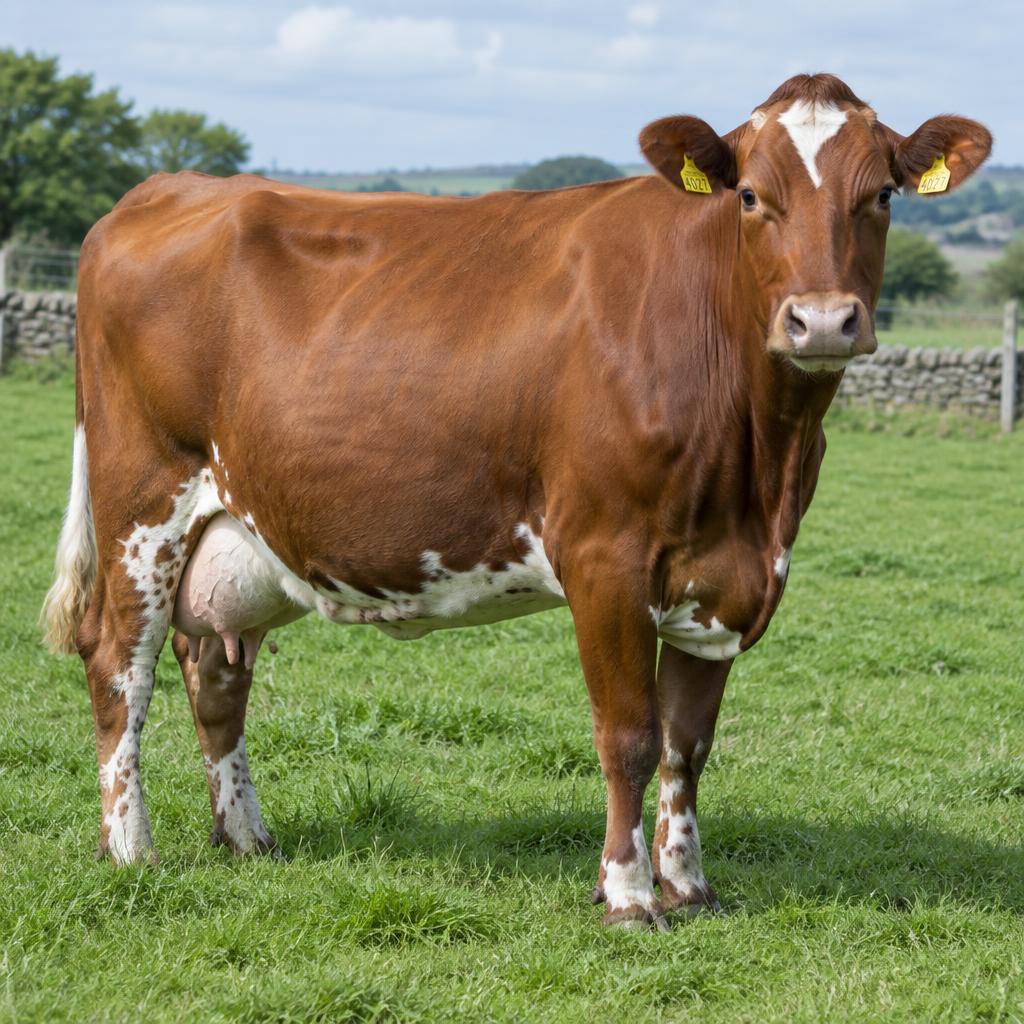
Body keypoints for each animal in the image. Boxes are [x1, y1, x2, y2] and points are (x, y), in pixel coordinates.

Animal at [43, 74, 990, 929]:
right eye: (752, 194)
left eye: (881, 194)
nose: (823, 321)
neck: (762, 463)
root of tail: (169, 189)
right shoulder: (605, 559)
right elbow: (629, 737)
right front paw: (629, 897)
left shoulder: (727, 577)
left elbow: (688, 745)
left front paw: (691, 887)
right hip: (142, 502)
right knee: (119, 665)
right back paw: (131, 850)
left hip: (236, 533)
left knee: (213, 672)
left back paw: (246, 837)